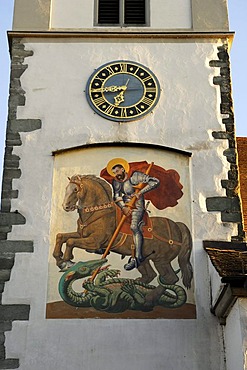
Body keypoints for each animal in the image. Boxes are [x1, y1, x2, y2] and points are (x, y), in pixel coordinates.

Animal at [53, 173, 194, 304]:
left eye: (75, 190)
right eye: (66, 188)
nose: (66, 206)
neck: (97, 212)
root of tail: (178, 226)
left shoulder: (95, 242)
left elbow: (70, 242)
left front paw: (67, 262)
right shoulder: (82, 235)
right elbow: (61, 236)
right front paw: (59, 259)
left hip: (161, 260)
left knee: (170, 278)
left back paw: (149, 297)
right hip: (146, 259)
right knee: (150, 274)